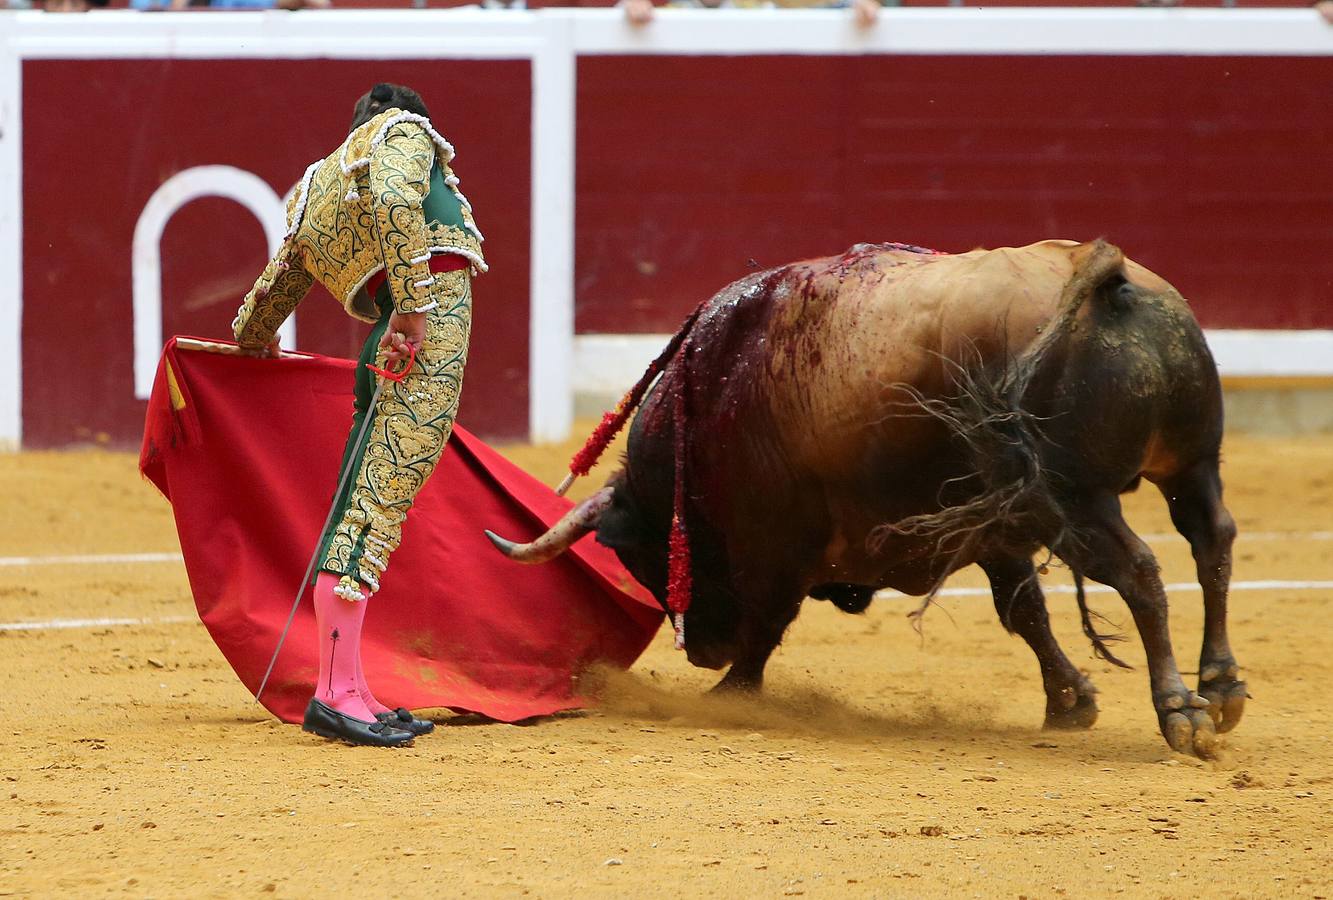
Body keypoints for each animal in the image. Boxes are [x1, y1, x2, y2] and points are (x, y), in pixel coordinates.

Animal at [485, 240, 1242, 762]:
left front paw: (730, 695)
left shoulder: (774, 544)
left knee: (1141, 571)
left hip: (1079, 500)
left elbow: (768, 622)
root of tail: (1102, 273)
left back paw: (1181, 710)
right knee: (1211, 542)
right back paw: (1222, 686)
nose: (701, 652)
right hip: (1190, 464)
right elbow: (1023, 611)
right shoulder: (999, 531)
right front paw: (1069, 701)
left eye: (641, 557)